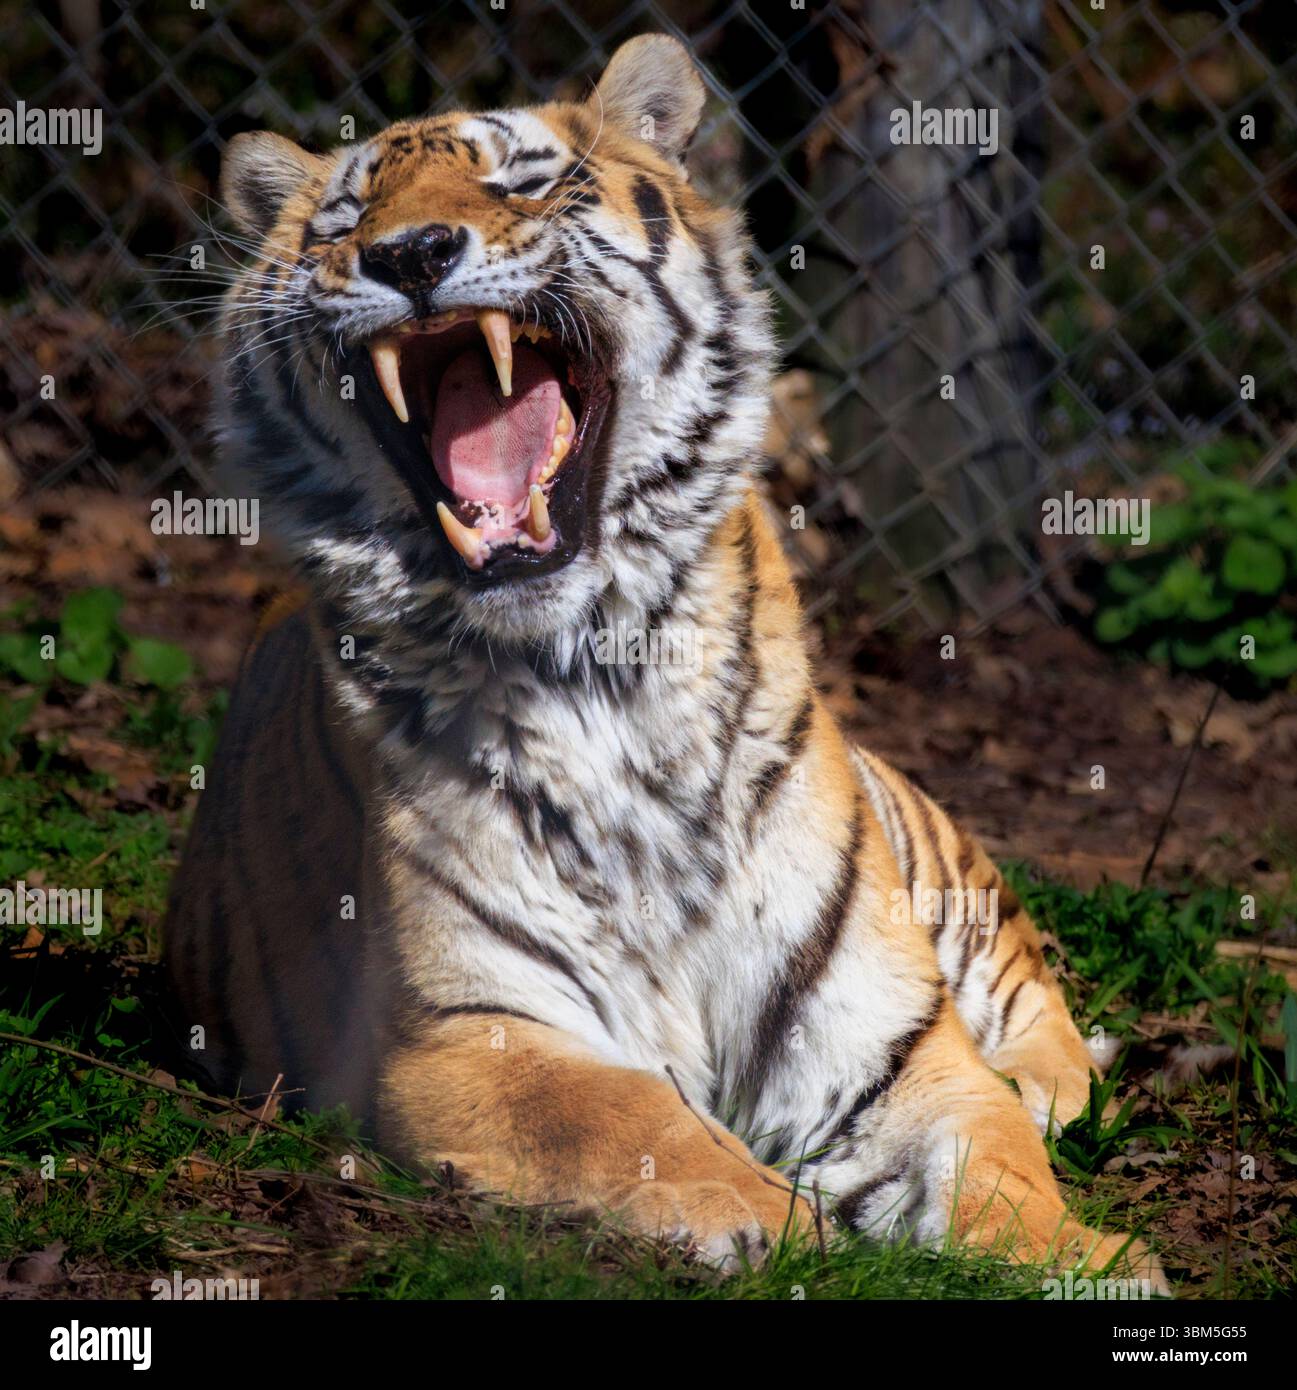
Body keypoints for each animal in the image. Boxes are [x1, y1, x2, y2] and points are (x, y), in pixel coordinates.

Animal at [166, 33, 1166, 1288]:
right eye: (346, 218)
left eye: (523, 180)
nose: (409, 253)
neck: (599, 666)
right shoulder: (466, 1031)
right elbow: (632, 1116)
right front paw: (776, 1219)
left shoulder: (888, 1036)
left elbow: (991, 1153)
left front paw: (1081, 1252)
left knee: (1033, 1007)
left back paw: (1040, 1080)